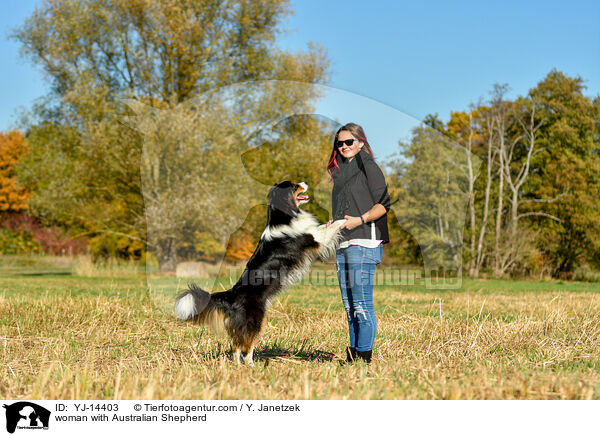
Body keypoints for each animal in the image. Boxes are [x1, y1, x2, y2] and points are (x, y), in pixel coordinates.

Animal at [173, 181, 346, 364]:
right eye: (294, 186)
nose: (305, 182)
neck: (282, 216)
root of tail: (231, 296)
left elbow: (324, 226)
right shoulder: (315, 238)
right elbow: (330, 227)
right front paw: (344, 219)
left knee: (236, 346)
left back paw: (237, 366)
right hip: (256, 320)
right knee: (246, 346)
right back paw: (251, 365)